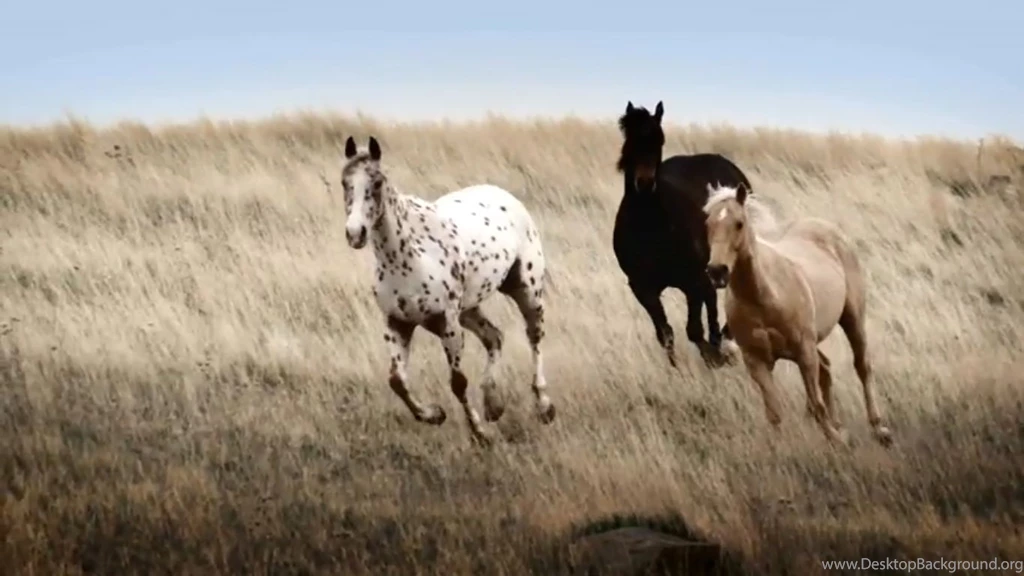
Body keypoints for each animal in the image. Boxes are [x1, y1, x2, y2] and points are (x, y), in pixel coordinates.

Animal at [337, 135, 555, 446]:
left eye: (376, 183)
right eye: (345, 182)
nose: (355, 233)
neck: (408, 258)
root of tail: (506, 197)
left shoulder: (448, 323)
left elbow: (458, 382)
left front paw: (480, 434)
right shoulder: (397, 323)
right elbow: (397, 381)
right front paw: (435, 415)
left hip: (526, 291)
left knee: (534, 338)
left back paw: (544, 407)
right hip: (469, 309)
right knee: (495, 337)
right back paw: (493, 404)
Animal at [613, 100, 755, 367]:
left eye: (660, 140)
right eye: (630, 138)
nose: (644, 183)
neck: (649, 227)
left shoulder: (692, 281)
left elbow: (694, 330)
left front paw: (715, 357)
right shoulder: (643, 288)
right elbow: (665, 334)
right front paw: (678, 369)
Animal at [702, 182, 893, 447]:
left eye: (739, 223)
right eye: (707, 223)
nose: (717, 271)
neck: (764, 296)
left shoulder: (804, 351)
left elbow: (817, 403)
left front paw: (836, 440)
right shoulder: (757, 361)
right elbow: (774, 412)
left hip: (852, 319)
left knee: (862, 366)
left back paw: (878, 428)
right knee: (826, 368)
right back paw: (839, 425)